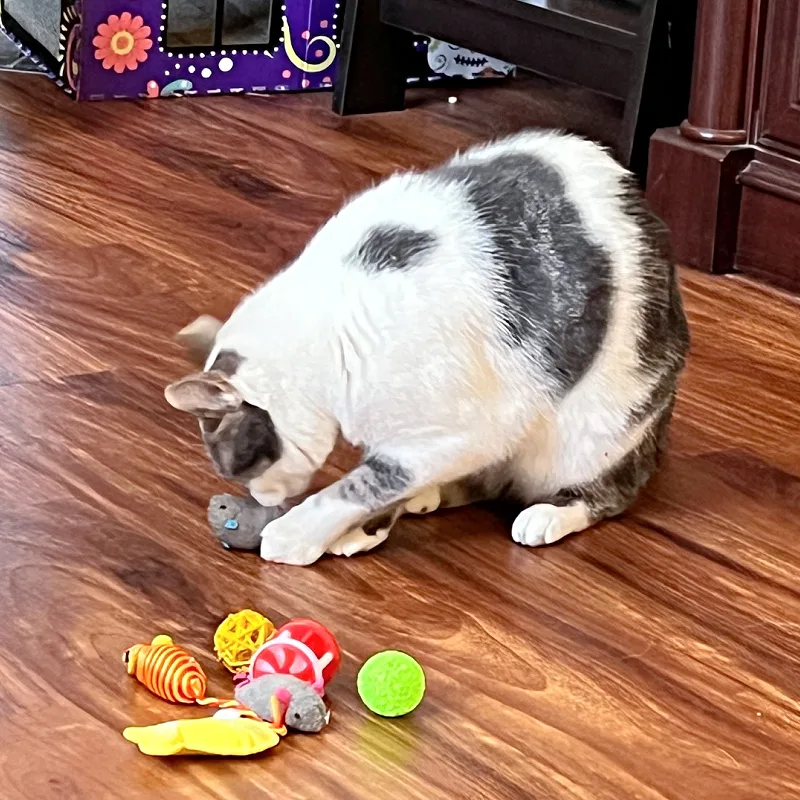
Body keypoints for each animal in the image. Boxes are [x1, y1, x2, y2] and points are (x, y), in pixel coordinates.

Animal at [167, 131, 688, 564]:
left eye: (239, 467)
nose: (262, 501)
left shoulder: (459, 430)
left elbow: (365, 483)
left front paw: (295, 534)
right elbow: (383, 482)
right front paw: (358, 528)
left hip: (593, 432)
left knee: (607, 492)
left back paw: (546, 515)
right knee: (482, 481)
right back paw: (421, 501)